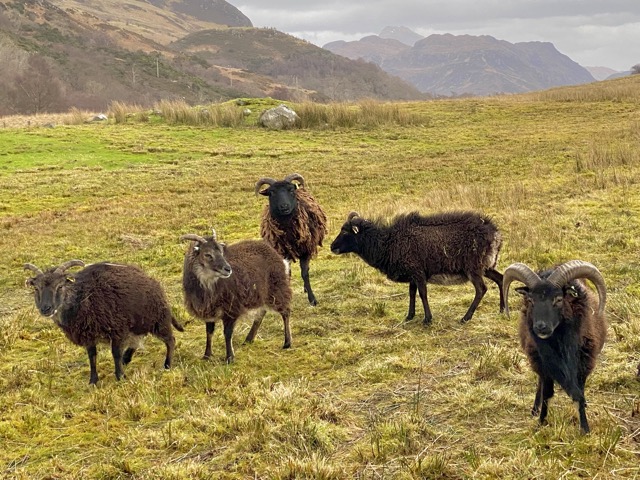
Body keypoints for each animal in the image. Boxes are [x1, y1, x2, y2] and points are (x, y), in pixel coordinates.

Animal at [22, 260, 182, 384]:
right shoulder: (88, 335)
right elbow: (92, 356)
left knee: (170, 340)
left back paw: (167, 365)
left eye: (60, 286)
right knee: (138, 339)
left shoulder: (117, 329)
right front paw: (93, 380)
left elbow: (115, 353)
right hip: (139, 322)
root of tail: (152, 281)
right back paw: (127, 358)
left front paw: (120, 377)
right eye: (36, 288)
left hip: (157, 319)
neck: (82, 298)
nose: (46, 308)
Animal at [179, 230, 292, 364]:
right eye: (207, 254)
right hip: (262, 294)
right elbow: (209, 332)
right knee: (262, 312)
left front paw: (229, 357)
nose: (228, 269)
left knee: (285, 312)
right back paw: (248, 339)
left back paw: (287, 343)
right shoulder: (209, 310)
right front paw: (206, 355)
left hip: (277, 288)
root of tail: (279, 257)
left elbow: (227, 333)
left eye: (221, 252)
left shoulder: (231, 308)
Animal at [255, 174, 328, 306]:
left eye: (291, 190)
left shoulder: (306, 251)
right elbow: (286, 273)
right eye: (271, 193)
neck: (289, 233)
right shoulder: (283, 251)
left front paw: (312, 299)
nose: (284, 207)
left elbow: (305, 273)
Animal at [330, 209, 504, 324]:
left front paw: (427, 319)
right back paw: (502, 309)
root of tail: (496, 234)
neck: (387, 242)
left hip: (473, 268)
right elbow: (412, 293)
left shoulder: (418, 271)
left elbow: (422, 294)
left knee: (481, 289)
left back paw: (466, 317)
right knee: (500, 278)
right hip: (486, 266)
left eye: (345, 232)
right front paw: (409, 316)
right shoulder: (412, 274)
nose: (332, 247)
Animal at [504, 260, 604, 434]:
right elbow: (546, 394)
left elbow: (579, 393)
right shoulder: (545, 366)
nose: (541, 327)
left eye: (558, 300)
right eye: (531, 300)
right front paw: (540, 423)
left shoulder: (583, 366)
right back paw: (535, 409)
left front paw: (585, 428)